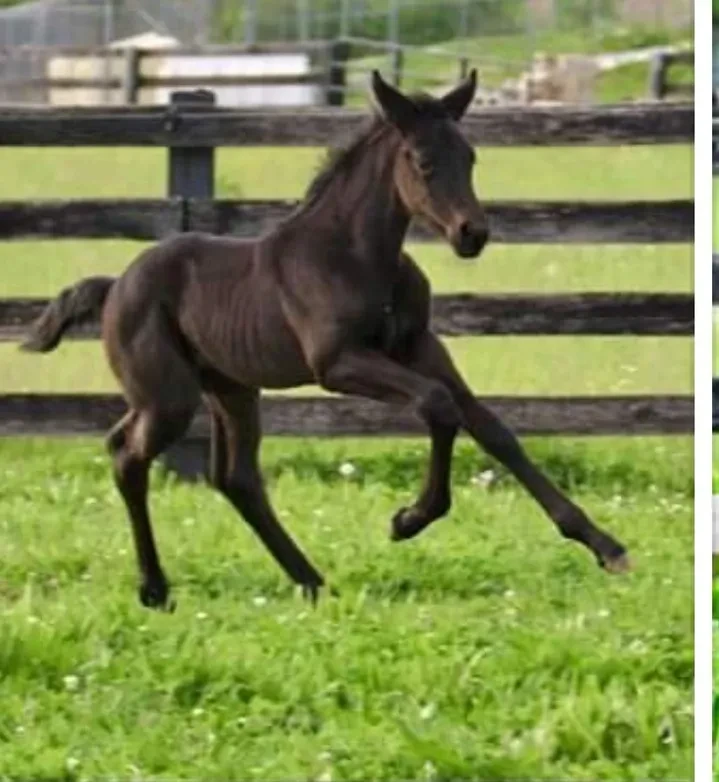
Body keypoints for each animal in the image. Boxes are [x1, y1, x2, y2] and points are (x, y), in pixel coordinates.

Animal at [21, 70, 630, 611]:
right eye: (421, 160)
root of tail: (114, 287)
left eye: (471, 157)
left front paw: (605, 546)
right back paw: (156, 589)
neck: (357, 258)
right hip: (169, 396)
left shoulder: (421, 347)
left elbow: (492, 427)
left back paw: (311, 582)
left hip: (229, 388)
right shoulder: (337, 364)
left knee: (232, 476)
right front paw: (409, 520)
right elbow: (438, 405)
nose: (471, 234)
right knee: (129, 454)